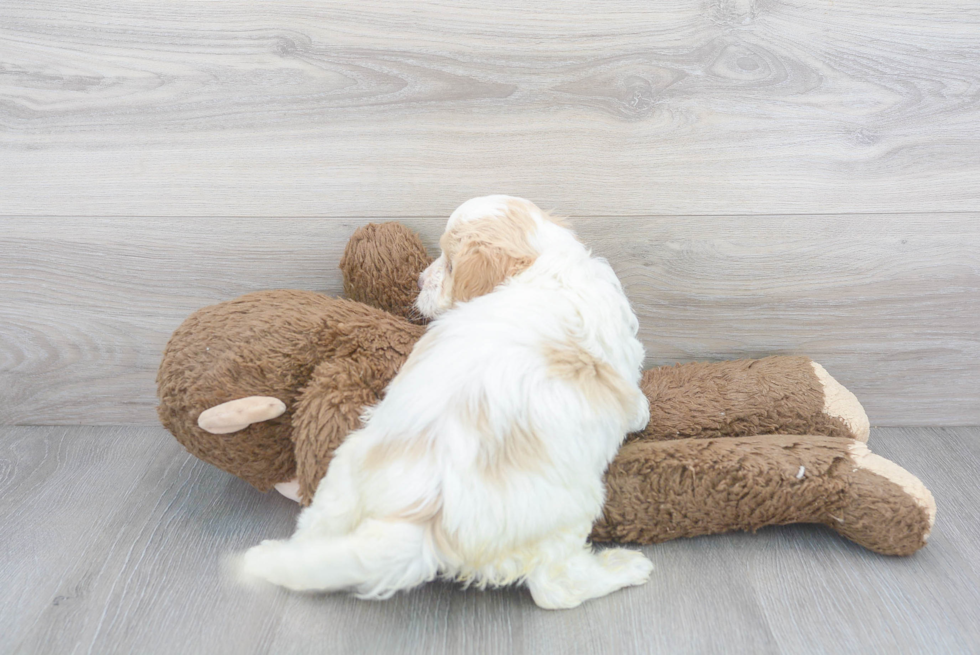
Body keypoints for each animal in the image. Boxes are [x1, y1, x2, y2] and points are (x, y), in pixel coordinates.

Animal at [242, 195, 656, 608]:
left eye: (450, 264)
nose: (419, 280)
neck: (544, 267)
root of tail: (421, 513)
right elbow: (636, 398)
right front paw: (642, 413)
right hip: (569, 510)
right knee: (554, 588)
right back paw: (624, 567)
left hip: (345, 468)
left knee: (317, 535)